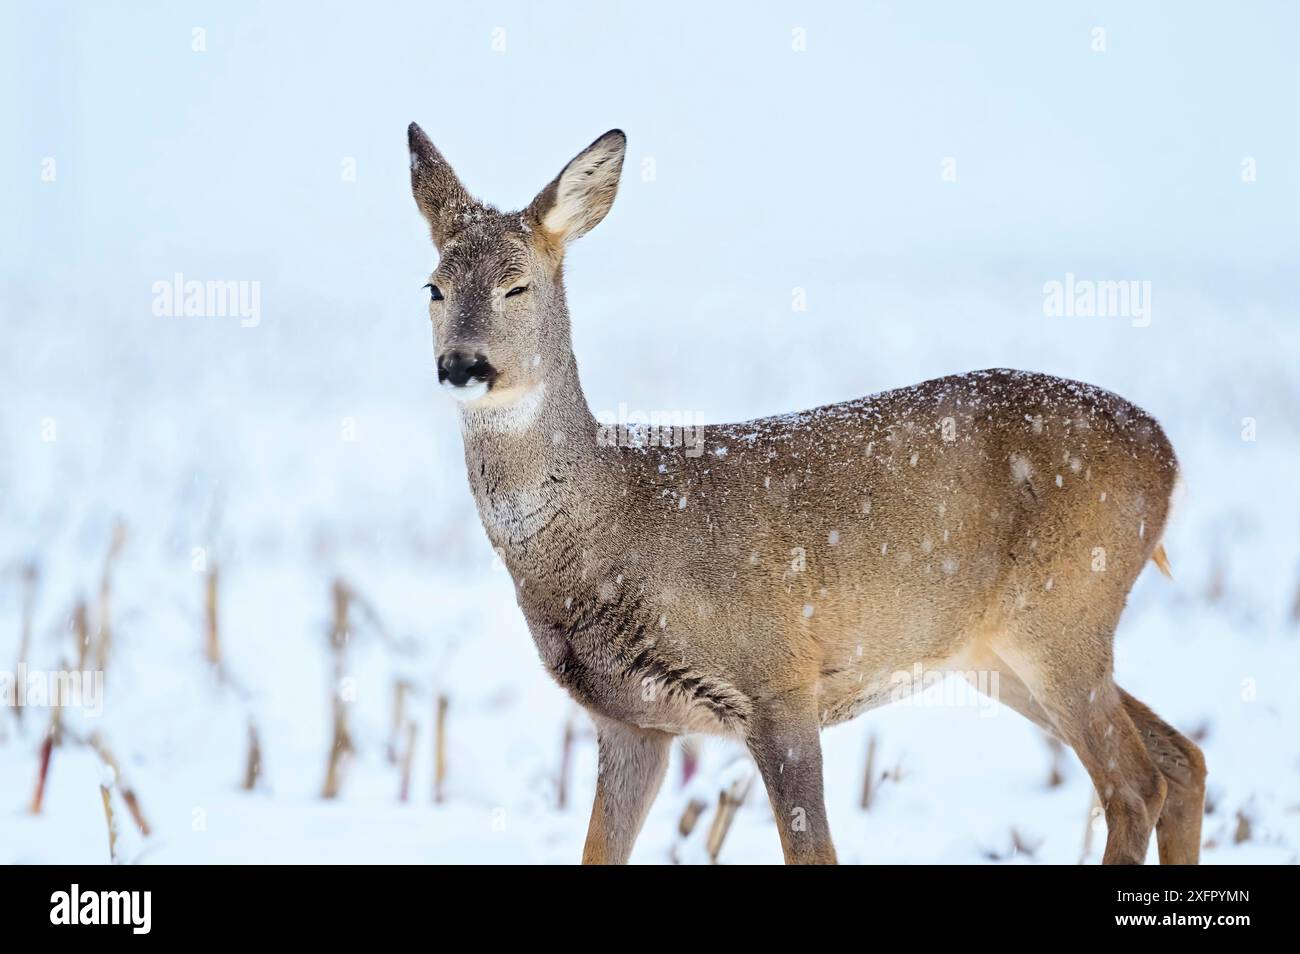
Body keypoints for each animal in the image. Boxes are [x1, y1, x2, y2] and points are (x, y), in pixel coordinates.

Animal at [408, 125, 1206, 868]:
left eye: (517, 285)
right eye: (434, 288)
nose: (462, 365)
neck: (614, 526)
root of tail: (1167, 455)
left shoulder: (779, 678)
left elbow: (814, 849)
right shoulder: (631, 721)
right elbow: (598, 852)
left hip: (1064, 610)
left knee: (1135, 785)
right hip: (1004, 649)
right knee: (1183, 759)